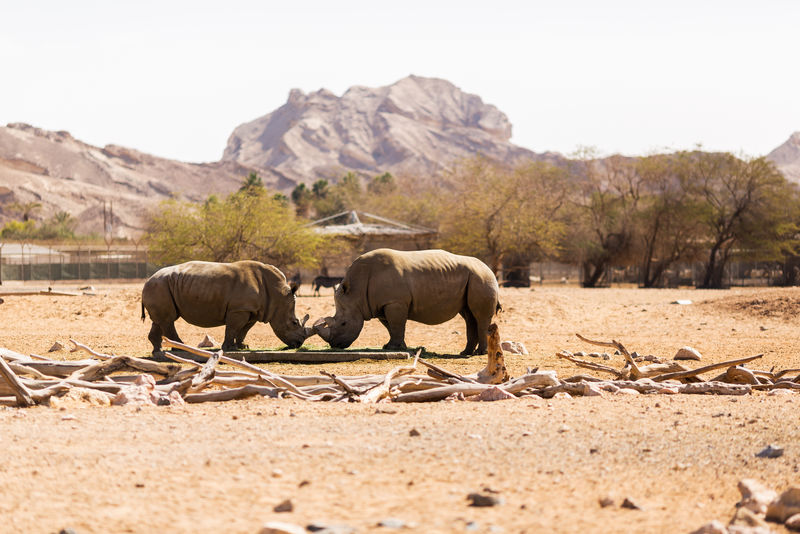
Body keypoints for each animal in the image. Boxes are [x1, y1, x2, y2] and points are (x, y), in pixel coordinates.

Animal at [141, 260, 310, 354]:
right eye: (294, 322)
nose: (299, 343)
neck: (278, 295)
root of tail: (147, 281)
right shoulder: (239, 309)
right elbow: (233, 328)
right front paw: (229, 348)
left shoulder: (252, 310)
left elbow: (244, 330)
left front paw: (243, 346)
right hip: (159, 286)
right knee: (168, 320)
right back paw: (180, 348)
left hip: (161, 286)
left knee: (161, 320)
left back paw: (158, 351)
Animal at [312, 250, 500, 356]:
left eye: (343, 323)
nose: (335, 345)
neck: (356, 292)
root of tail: (489, 269)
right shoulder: (383, 305)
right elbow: (391, 327)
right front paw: (392, 346)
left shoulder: (394, 302)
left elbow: (396, 325)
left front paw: (393, 348)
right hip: (473, 278)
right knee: (469, 316)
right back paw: (465, 352)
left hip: (481, 278)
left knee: (479, 316)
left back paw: (479, 353)